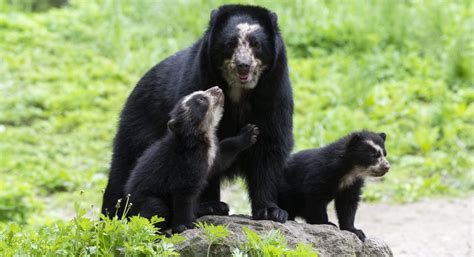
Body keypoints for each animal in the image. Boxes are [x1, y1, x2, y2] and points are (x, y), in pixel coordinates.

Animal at [101, 4, 290, 221]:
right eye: (230, 43)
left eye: (256, 44)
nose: (243, 65)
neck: (239, 91)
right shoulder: (199, 80)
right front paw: (210, 207)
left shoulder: (274, 95)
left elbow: (269, 147)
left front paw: (271, 211)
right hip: (137, 129)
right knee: (122, 171)